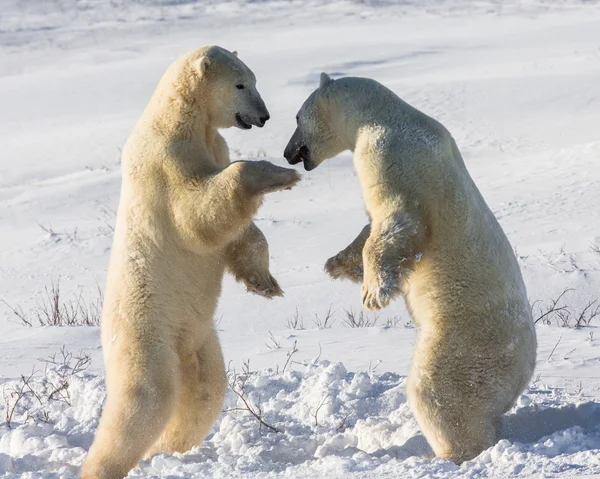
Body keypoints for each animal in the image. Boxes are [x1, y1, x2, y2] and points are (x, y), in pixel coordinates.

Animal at [81, 46, 300, 479]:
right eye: (241, 84)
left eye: (254, 80)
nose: (263, 116)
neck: (181, 120)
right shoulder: (167, 160)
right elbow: (198, 213)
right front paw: (281, 174)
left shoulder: (214, 146)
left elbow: (235, 233)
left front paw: (264, 282)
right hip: (148, 333)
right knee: (145, 398)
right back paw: (104, 466)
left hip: (197, 337)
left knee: (205, 391)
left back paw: (166, 447)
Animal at [284, 74, 536, 464]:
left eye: (297, 117)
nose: (288, 152)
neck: (382, 114)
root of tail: (523, 370)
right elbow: (371, 226)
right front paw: (337, 263)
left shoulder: (389, 153)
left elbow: (397, 219)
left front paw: (374, 293)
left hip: (465, 344)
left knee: (437, 393)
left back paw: (449, 454)